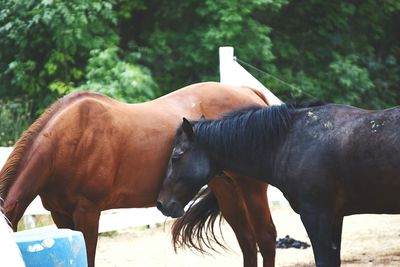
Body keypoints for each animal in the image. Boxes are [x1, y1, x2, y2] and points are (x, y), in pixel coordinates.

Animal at [0, 82, 276, 266]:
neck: (68, 140)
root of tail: (248, 91)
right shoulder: (61, 215)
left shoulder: (87, 212)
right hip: (227, 189)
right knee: (247, 242)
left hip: (251, 188)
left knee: (265, 237)